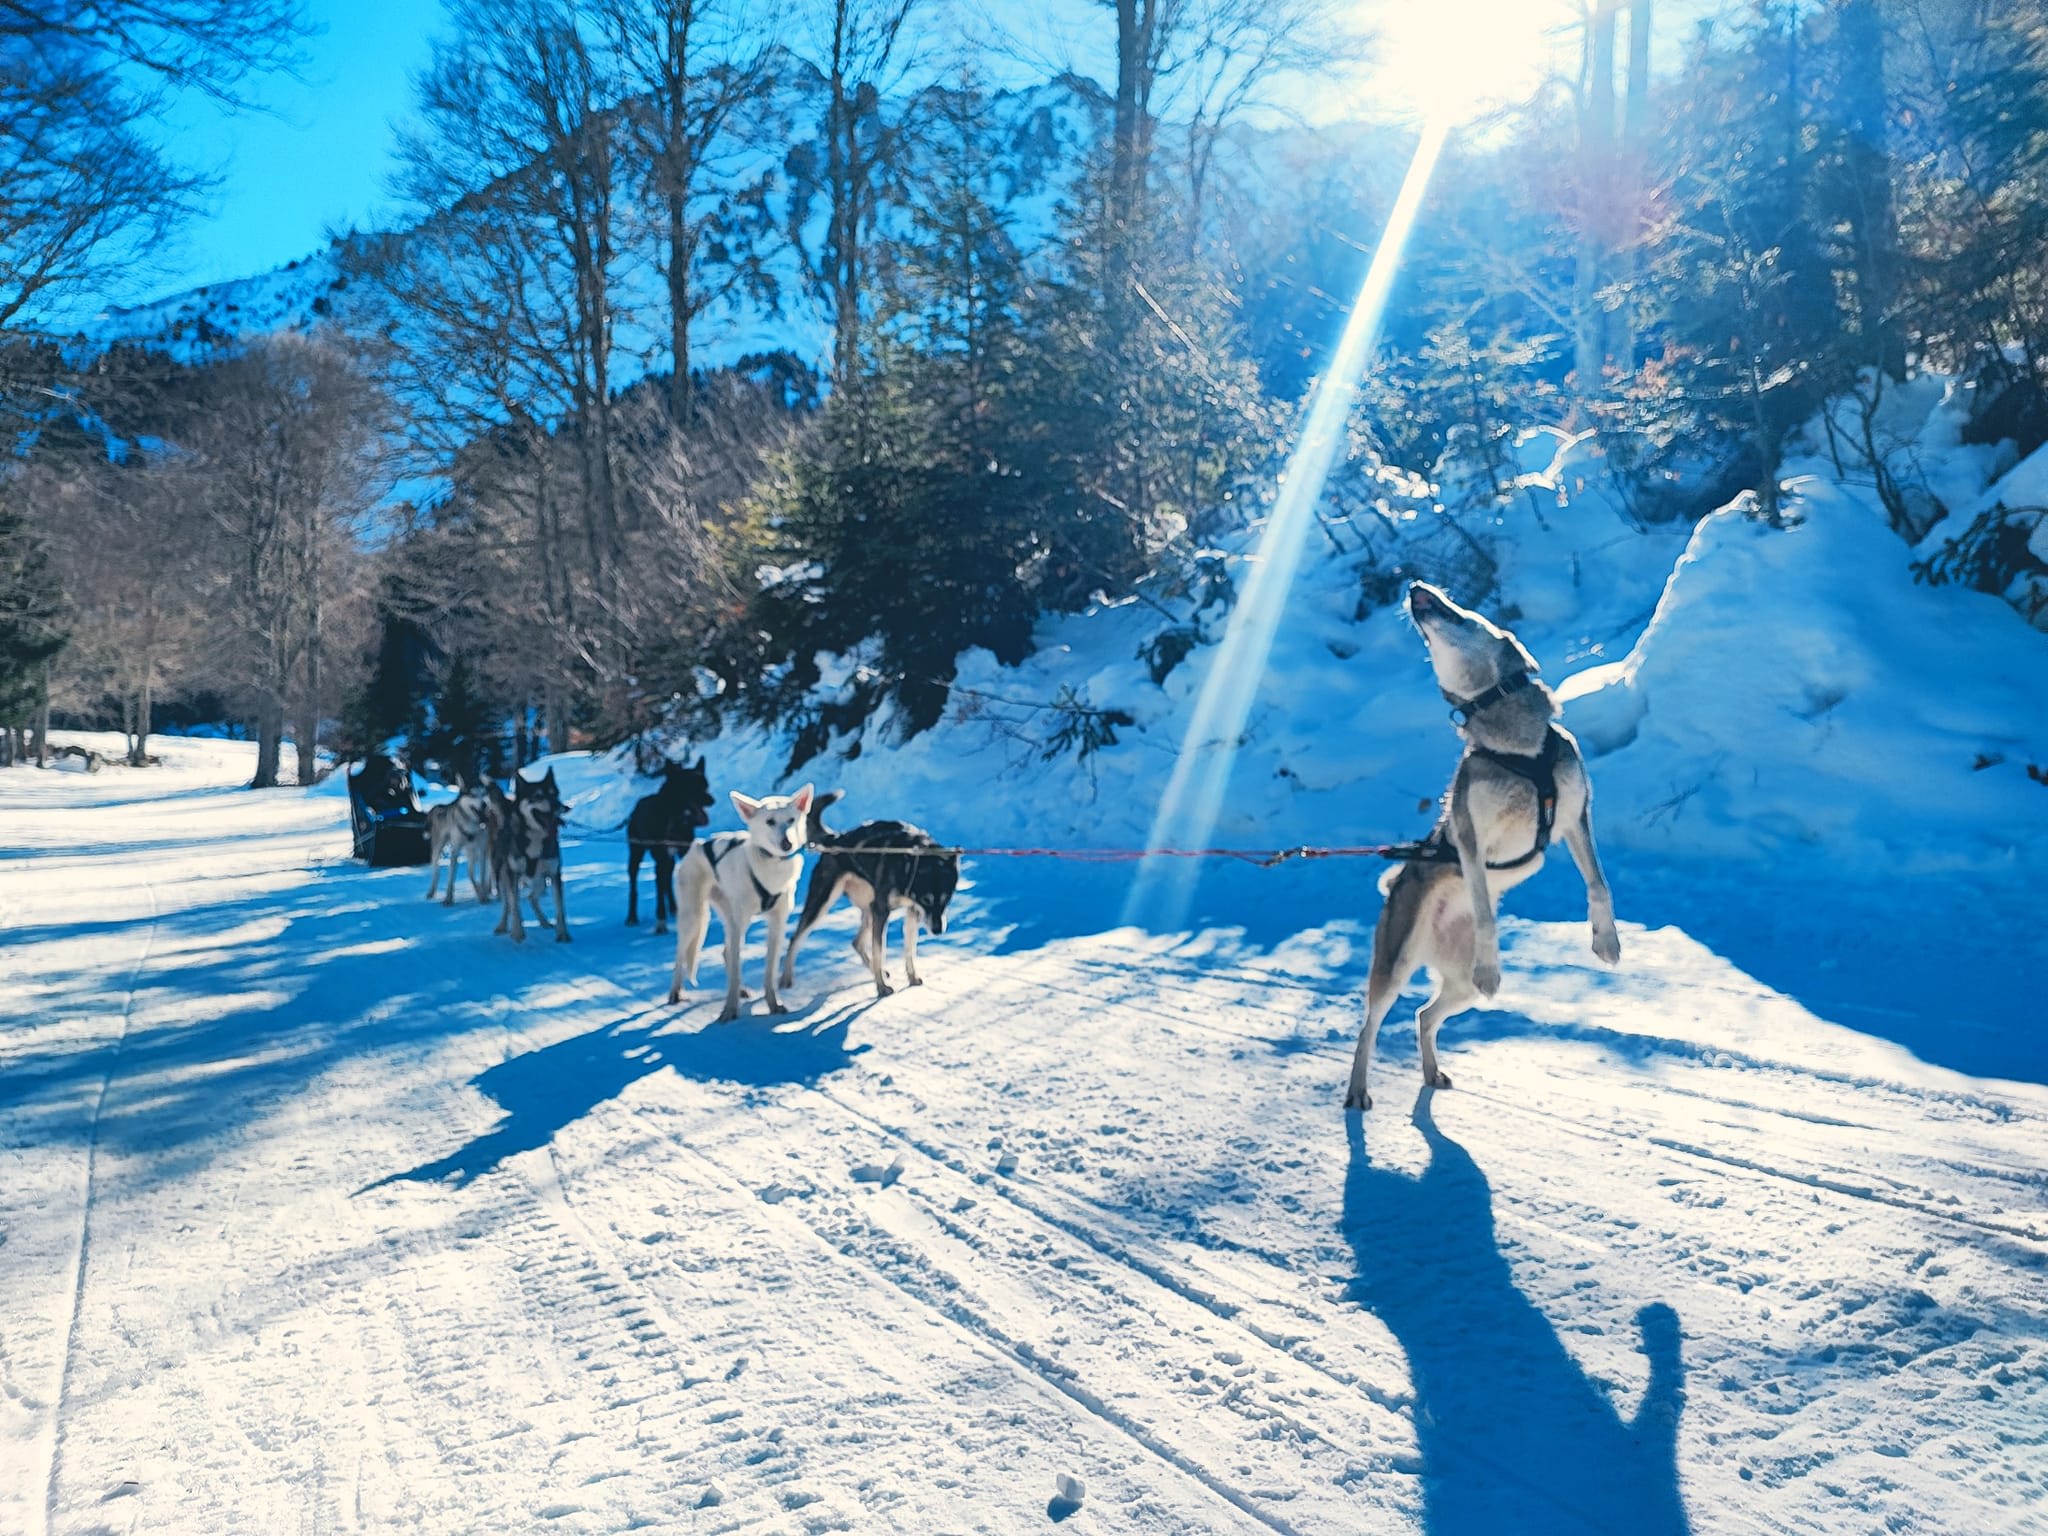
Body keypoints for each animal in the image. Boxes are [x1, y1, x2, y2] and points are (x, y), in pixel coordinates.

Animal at [663, 786, 806, 1028]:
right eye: (770, 821)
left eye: (791, 820)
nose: (787, 844)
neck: (770, 867)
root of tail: (698, 844)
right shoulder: (739, 922)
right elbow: (737, 969)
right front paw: (729, 1010)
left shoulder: (777, 924)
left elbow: (769, 972)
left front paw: (773, 1004)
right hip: (695, 918)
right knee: (680, 955)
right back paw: (675, 992)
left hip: (733, 921)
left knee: (726, 951)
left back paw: (739, 990)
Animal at [1351, 581, 1622, 1114]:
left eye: (1465, 612)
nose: (1415, 587)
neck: (1519, 748)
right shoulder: (1471, 838)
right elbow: (1484, 909)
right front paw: (1492, 963)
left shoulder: (1575, 816)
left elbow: (1598, 884)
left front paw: (1607, 941)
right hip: (1395, 966)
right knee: (1368, 1027)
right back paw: (1358, 1091)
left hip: (1459, 989)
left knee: (1423, 1015)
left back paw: (1431, 1071)